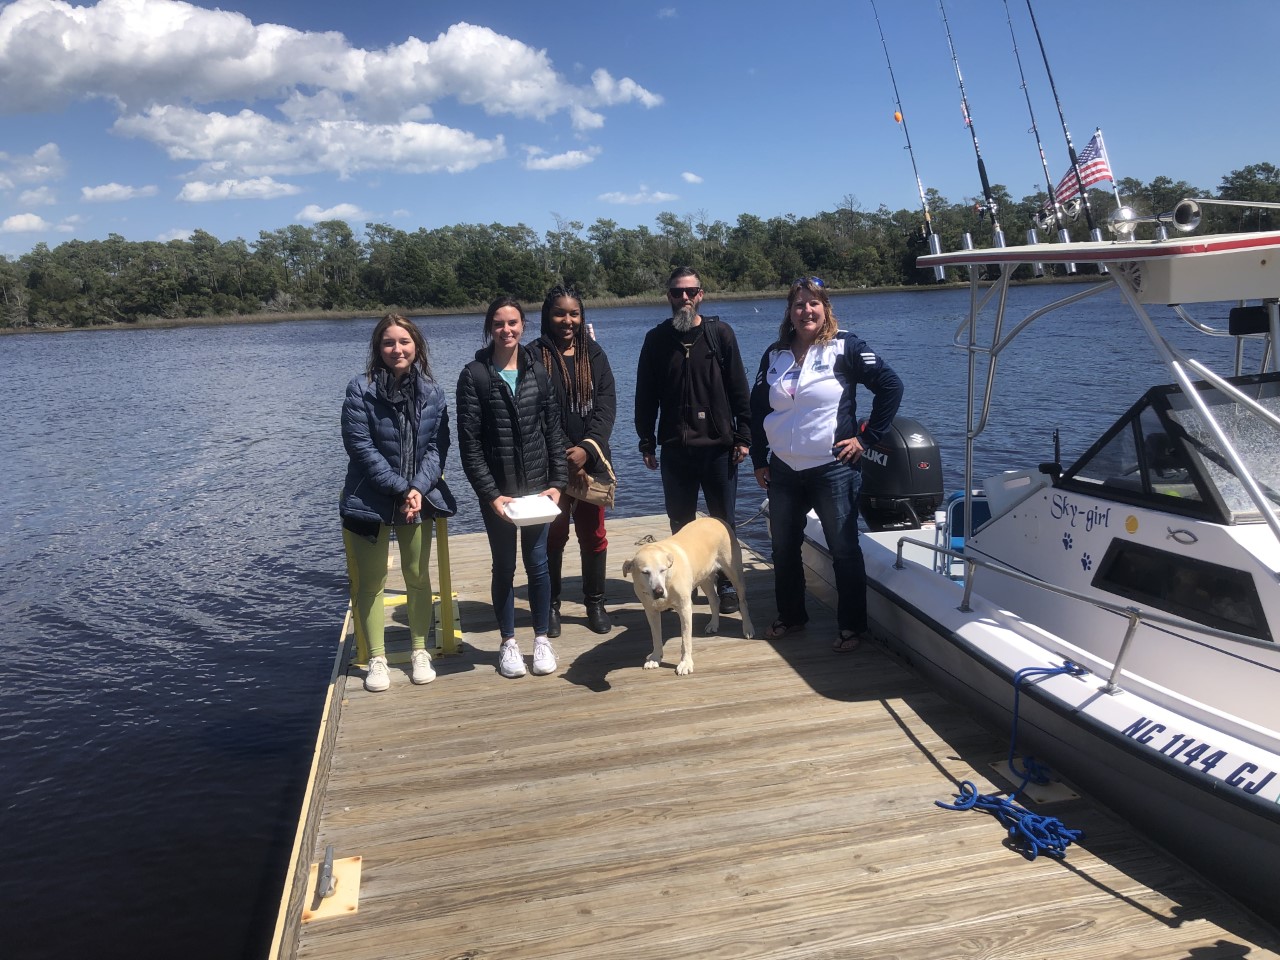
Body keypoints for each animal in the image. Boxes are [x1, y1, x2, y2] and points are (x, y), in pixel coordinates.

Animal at [622, 519, 752, 675]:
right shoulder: (650, 611)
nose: (658, 591)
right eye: (645, 572)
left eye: (663, 570)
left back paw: (748, 628)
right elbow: (656, 636)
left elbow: (686, 639)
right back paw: (713, 624)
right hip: (704, 576)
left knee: (743, 601)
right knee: (714, 600)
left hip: (733, 570)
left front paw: (685, 664)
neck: (668, 581)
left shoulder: (685, 608)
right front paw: (655, 658)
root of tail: (716, 519)